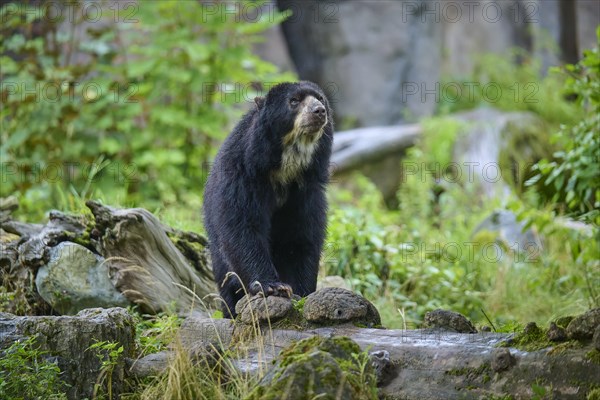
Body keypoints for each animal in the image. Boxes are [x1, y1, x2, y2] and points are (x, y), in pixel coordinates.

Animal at [203, 82, 332, 318]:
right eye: (294, 101)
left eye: (320, 99)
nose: (319, 111)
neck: (286, 166)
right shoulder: (242, 176)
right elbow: (242, 228)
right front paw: (273, 286)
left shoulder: (306, 193)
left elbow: (302, 237)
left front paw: (300, 291)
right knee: (227, 281)